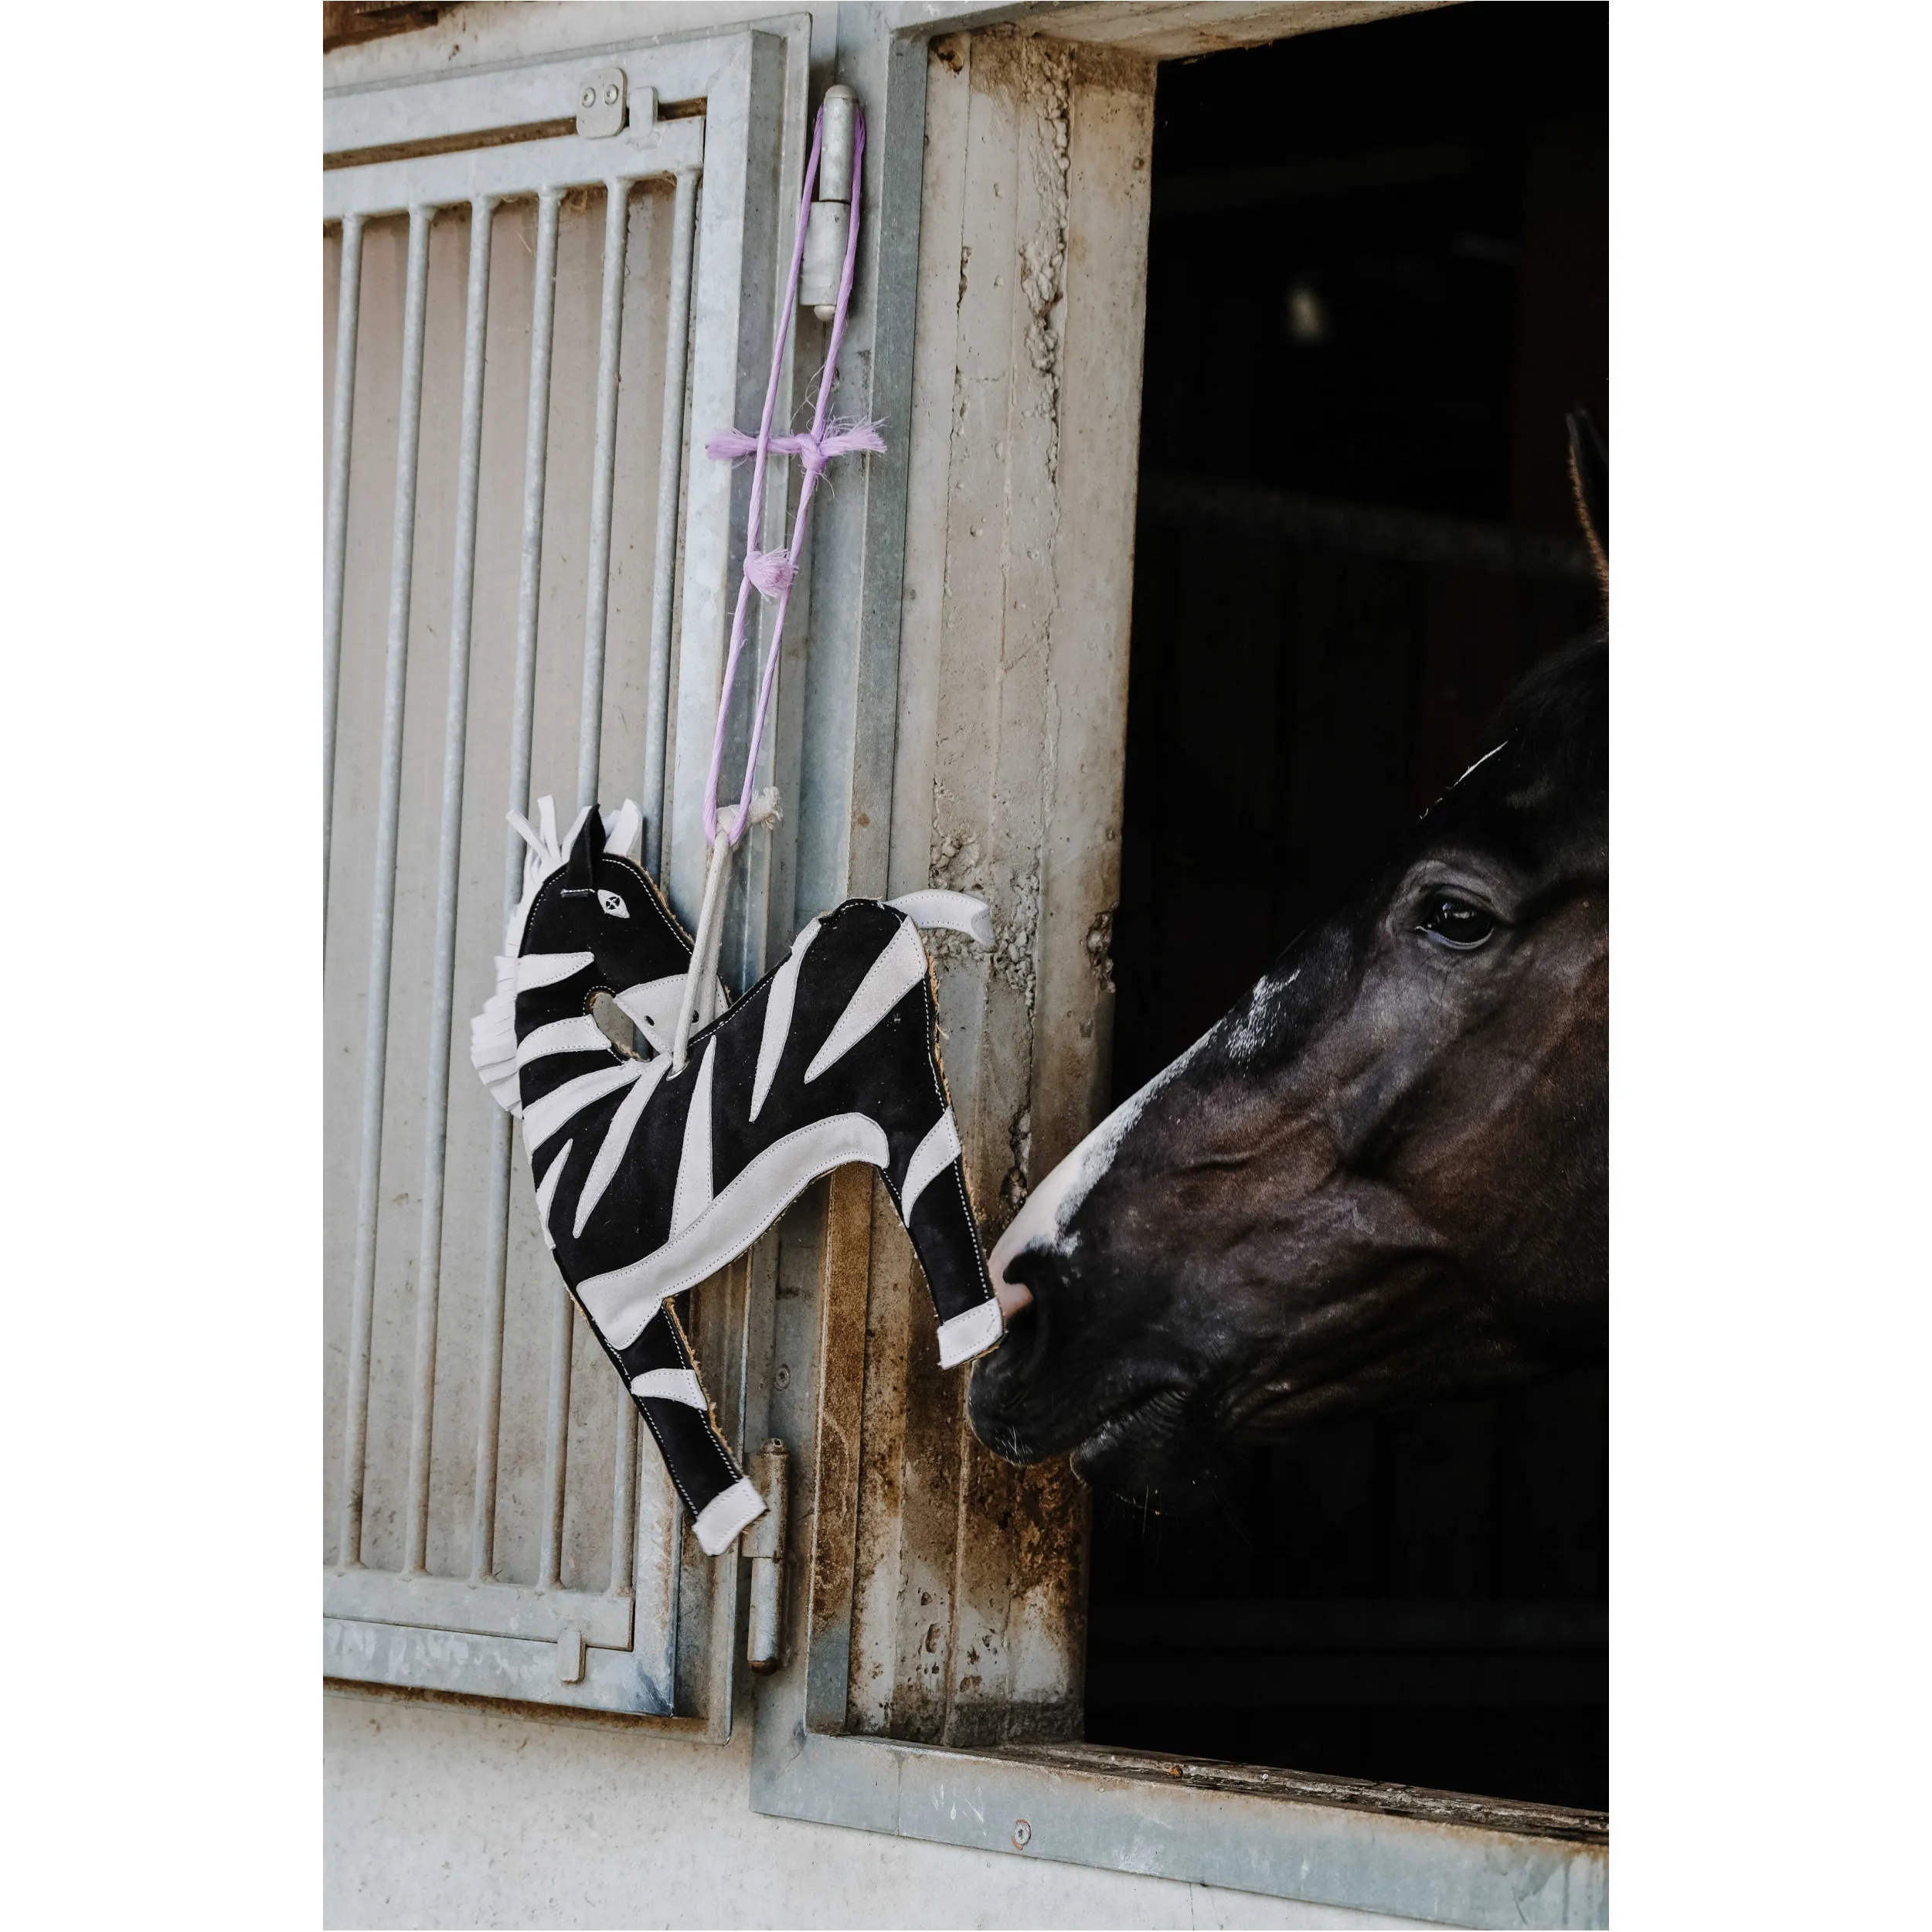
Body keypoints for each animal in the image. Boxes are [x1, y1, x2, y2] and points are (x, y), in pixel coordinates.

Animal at [471, 797, 1003, 1554]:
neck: (573, 1104)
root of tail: (884, 908)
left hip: (897, 1095)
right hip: (903, 1101)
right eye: (614, 901)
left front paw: (731, 1524)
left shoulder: (609, 1301)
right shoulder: (620, 1298)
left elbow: (672, 1409)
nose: (706, 1009)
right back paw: (974, 1338)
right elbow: (678, 1401)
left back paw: (971, 1340)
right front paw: (737, 1522)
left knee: (937, 1205)